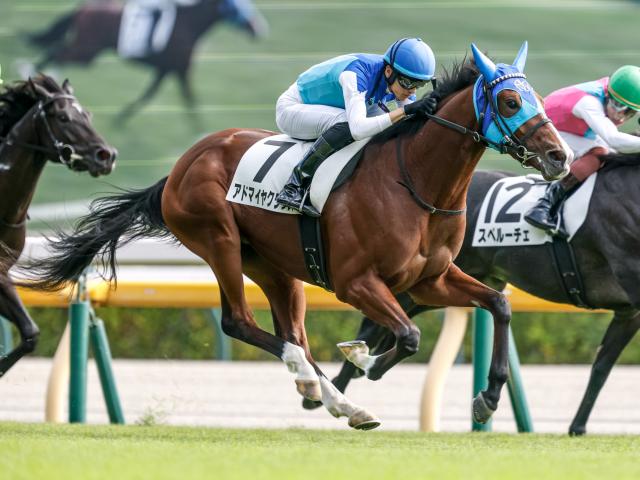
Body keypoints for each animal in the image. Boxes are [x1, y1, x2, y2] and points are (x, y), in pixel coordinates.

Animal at [22, 44, 572, 429]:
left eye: (539, 98)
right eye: (509, 99)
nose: (559, 156)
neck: (415, 182)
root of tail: (180, 167)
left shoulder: (430, 279)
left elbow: (498, 305)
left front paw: (488, 397)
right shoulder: (356, 283)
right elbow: (408, 336)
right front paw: (364, 359)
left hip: (276, 267)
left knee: (295, 334)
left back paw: (341, 404)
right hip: (218, 240)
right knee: (241, 323)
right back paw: (315, 382)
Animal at [27, 0, 268, 123]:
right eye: (237, 6)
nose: (258, 29)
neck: (189, 23)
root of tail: (83, 8)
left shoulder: (167, 69)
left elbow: (149, 95)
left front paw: (121, 118)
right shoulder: (181, 69)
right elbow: (190, 99)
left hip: (88, 51)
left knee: (56, 51)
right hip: (86, 50)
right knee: (57, 53)